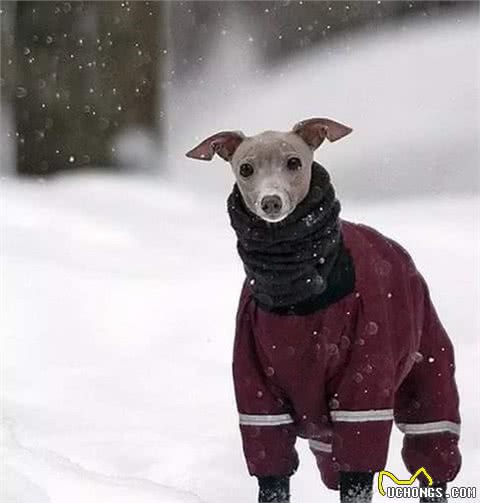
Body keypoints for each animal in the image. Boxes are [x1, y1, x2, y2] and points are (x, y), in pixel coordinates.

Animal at [186, 119, 460, 503]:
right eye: (246, 168)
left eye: (294, 162)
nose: (271, 202)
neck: (295, 299)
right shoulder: (258, 400)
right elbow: (271, 470)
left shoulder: (364, 392)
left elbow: (358, 467)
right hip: (323, 432)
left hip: (429, 376)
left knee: (432, 448)